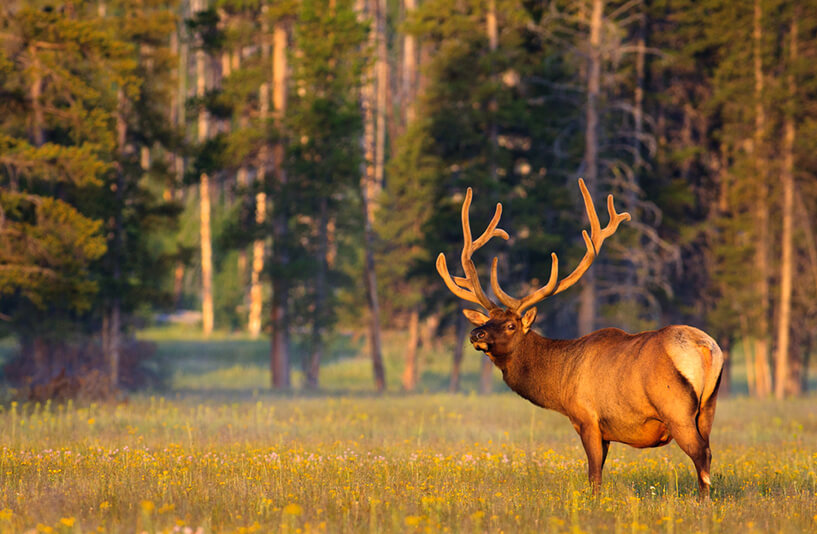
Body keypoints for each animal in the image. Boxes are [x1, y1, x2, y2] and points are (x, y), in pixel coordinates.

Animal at [436, 179, 724, 498]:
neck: (560, 384)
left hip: (677, 409)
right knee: (708, 449)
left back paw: (702, 502)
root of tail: (706, 347)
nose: (476, 333)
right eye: (486, 320)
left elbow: (594, 475)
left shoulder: (587, 418)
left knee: (701, 454)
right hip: (708, 408)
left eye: (511, 325)